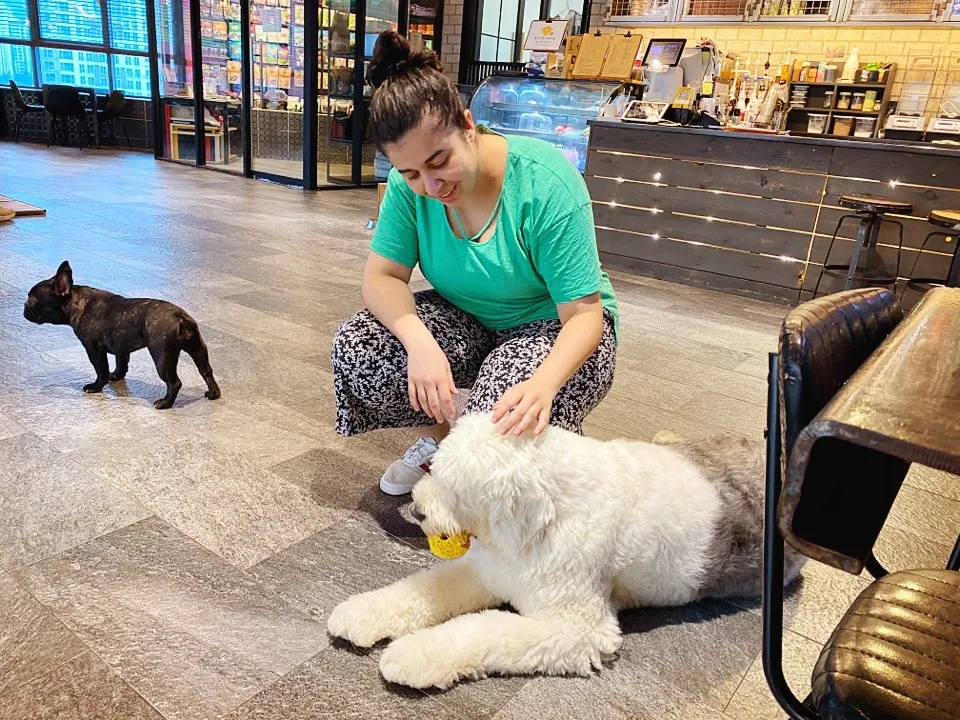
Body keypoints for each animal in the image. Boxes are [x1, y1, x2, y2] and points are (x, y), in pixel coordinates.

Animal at [328, 410, 804, 688]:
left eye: (458, 489)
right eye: (434, 468)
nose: (419, 510)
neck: (546, 514)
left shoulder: (577, 629)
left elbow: (483, 631)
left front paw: (414, 655)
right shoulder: (485, 569)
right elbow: (420, 590)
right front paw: (361, 613)